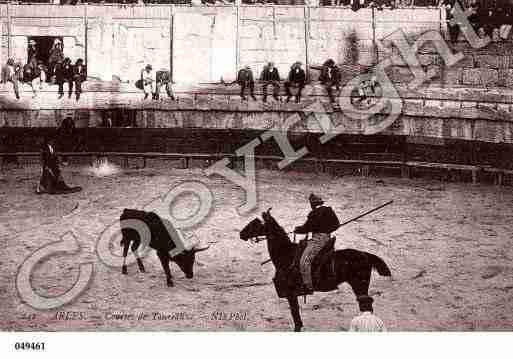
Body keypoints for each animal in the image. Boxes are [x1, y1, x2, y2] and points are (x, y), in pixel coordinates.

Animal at [238, 210, 390, 334]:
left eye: (256, 224)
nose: (241, 234)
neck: (287, 254)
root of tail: (365, 254)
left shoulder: (291, 294)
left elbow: (295, 313)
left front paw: (297, 328)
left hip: (360, 285)